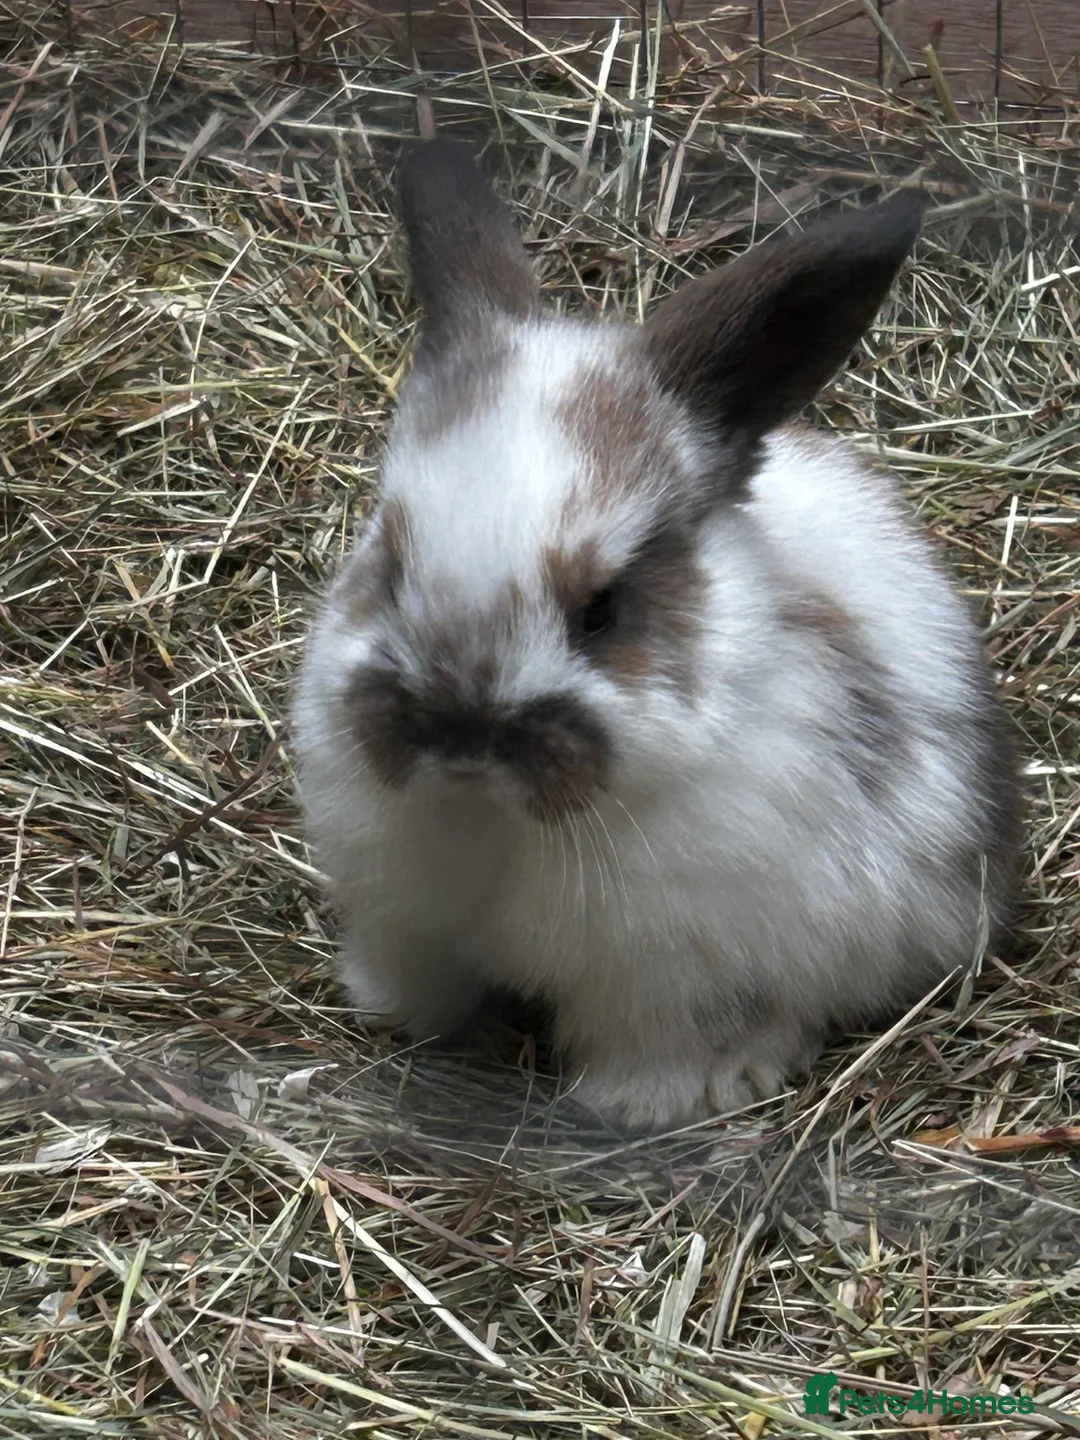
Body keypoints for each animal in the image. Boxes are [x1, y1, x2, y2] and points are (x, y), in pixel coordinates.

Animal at [290, 138, 1022, 1135]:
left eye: (602, 608)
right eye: (393, 564)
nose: (461, 735)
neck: (496, 819)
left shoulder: (673, 977)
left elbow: (666, 1040)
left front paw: (653, 1103)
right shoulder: (406, 919)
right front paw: (392, 1016)